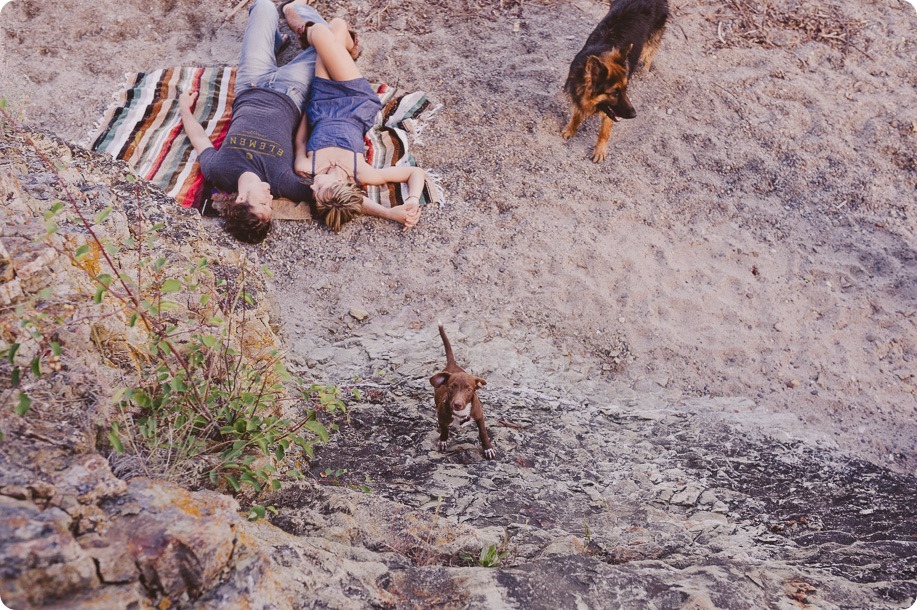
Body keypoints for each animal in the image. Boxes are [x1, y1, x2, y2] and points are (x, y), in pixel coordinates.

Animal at [428, 324, 494, 456]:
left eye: (469, 389)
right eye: (452, 387)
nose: (457, 404)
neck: (460, 414)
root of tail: (452, 365)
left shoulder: (479, 416)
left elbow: (483, 432)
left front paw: (488, 448)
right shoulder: (442, 418)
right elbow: (444, 430)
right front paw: (443, 441)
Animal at [560, 0, 664, 162]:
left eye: (625, 90)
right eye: (614, 93)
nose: (634, 115)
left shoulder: (610, 113)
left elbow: (604, 130)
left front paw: (600, 150)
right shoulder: (578, 95)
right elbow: (577, 114)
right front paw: (571, 128)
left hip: (652, 38)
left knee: (649, 54)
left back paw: (645, 71)